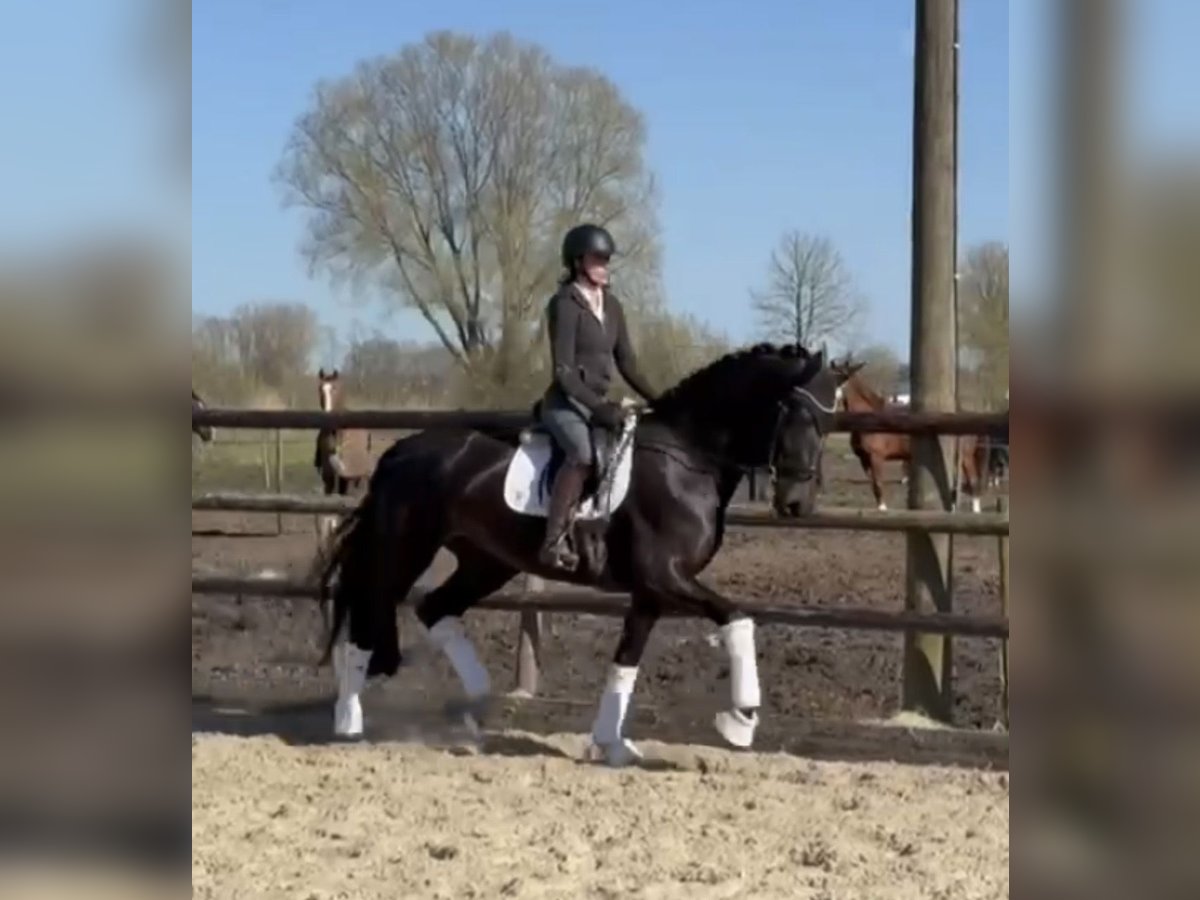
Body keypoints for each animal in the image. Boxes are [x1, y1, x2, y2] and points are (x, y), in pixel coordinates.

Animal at [314, 343, 839, 765]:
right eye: (797, 413)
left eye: (830, 422)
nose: (797, 503)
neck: (689, 459)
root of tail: (400, 450)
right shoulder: (666, 577)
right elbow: (738, 619)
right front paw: (741, 720)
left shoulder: (652, 592)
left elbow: (626, 662)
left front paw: (612, 744)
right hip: (405, 549)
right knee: (370, 612)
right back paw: (349, 720)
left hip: (487, 562)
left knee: (433, 608)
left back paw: (474, 706)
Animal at [830, 359, 989, 513]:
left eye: (843, 377)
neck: (869, 420)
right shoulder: (864, 459)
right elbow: (873, 485)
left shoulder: (877, 457)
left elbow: (878, 483)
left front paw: (883, 509)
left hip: (966, 457)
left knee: (973, 481)